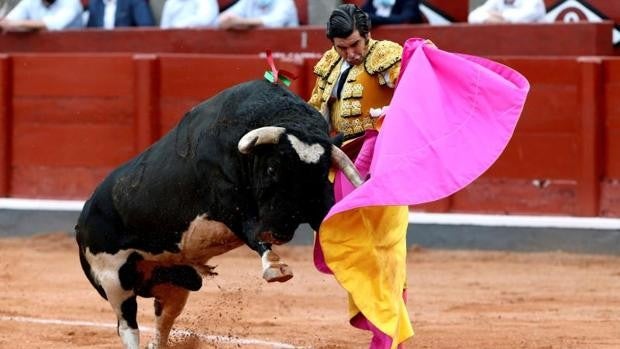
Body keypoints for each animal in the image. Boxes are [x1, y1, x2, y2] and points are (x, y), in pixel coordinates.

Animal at [74, 79, 364, 348]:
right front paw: (275, 267)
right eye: (272, 168)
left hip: (175, 281)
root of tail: (84, 216)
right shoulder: (231, 207)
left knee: (163, 319)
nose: (279, 232)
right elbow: (252, 233)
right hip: (114, 280)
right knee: (127, 326)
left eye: (320, 173)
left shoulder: (318, 202)